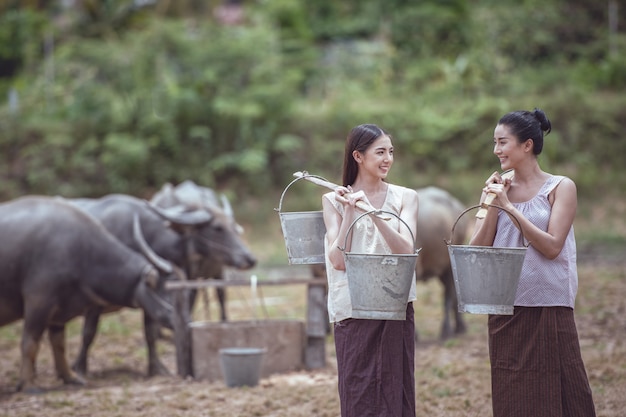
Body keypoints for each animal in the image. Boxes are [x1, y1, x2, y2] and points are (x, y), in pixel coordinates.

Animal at [0, 197, 178, 392]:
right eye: (166, 291)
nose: (181, 321)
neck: (81, 250)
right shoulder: (39, 301)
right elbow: (30, 342)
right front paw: (28, 384)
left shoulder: (58, 312)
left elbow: (59, 343)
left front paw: (70, 376)